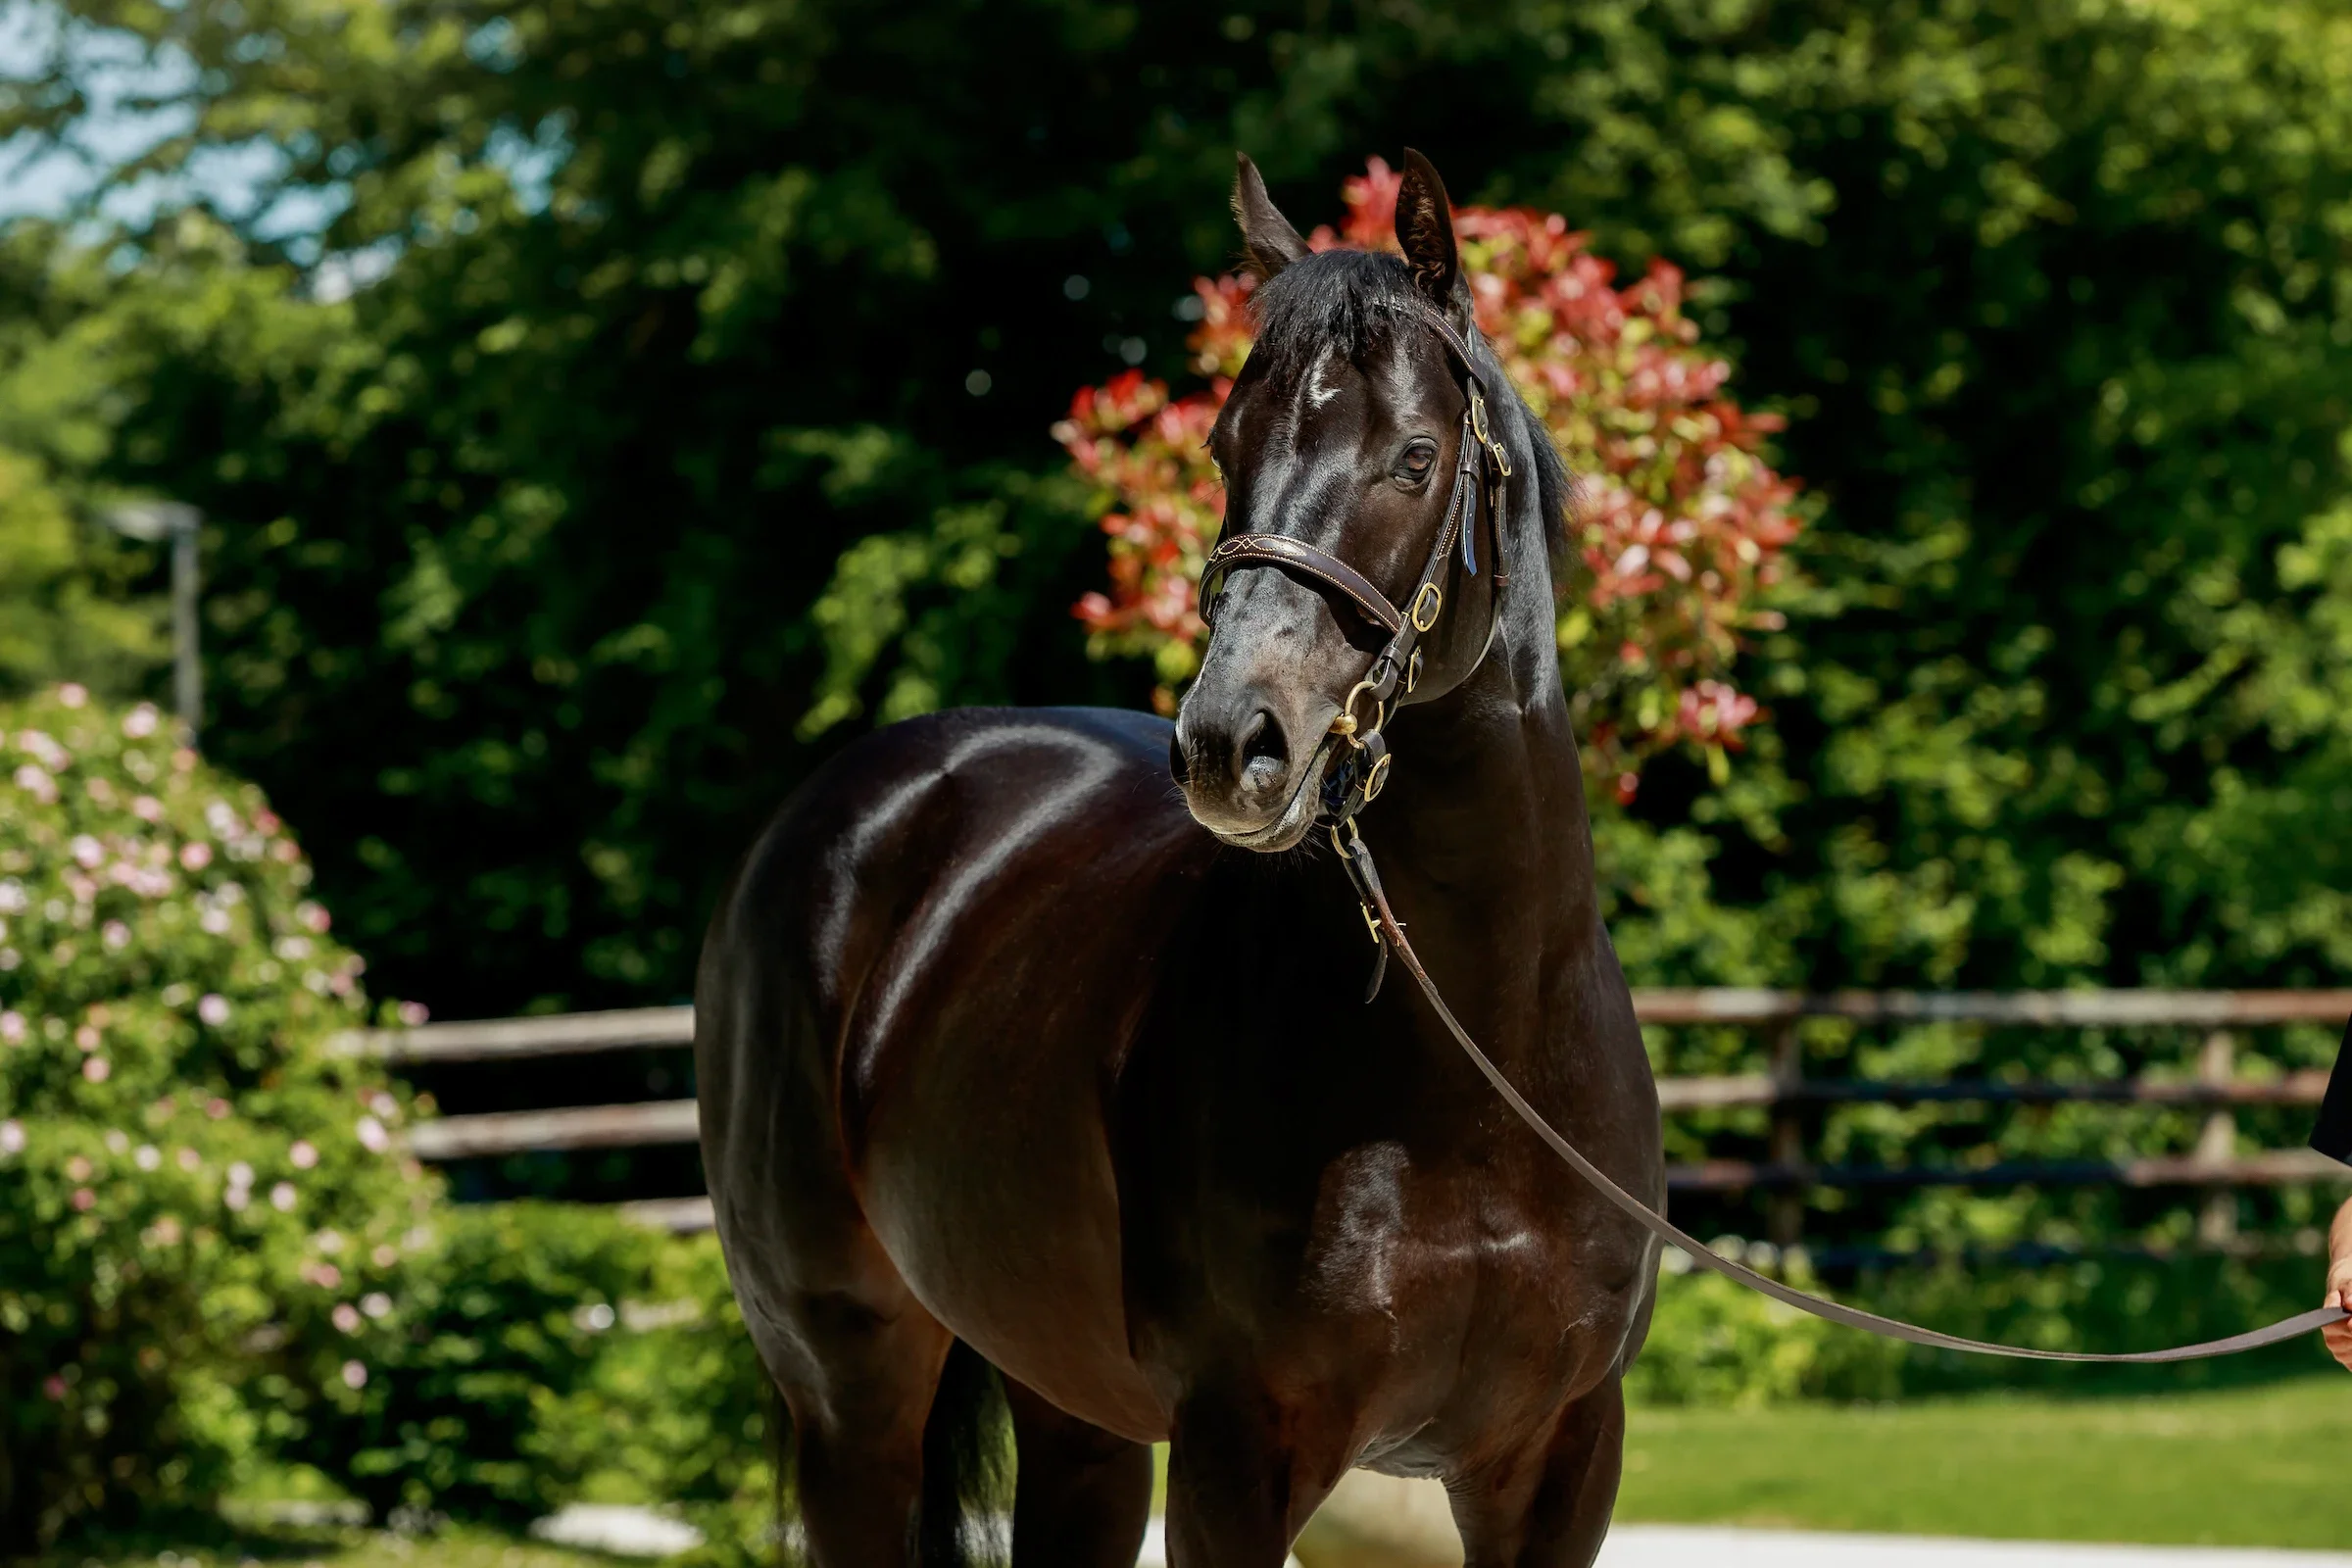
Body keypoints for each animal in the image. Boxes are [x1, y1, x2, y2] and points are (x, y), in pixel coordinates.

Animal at [695, 148, 1664, 1568]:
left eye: (1414, 455)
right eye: (1224, 447)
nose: (1229, 743)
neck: (1479, 1061)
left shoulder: (1560, 1463)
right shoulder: (1236, 1451)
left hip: (1073, 1414)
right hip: (849, 1390)